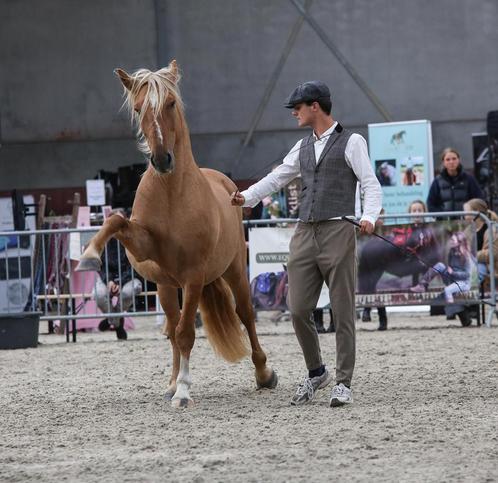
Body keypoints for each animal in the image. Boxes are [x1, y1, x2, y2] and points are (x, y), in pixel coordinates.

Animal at [78, 59, 280, 408]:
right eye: (138, 109)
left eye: (170, 103)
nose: (161, 159)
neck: (172, 193)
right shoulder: (145, 249)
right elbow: (115, 220)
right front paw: (90, 256)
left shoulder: (194, 277)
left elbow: (188, 333)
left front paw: (184, 391)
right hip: (165, 287)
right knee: (171, 328)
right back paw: (171, 382)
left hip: (232, 271)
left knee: (245, 314)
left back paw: (263, 374)